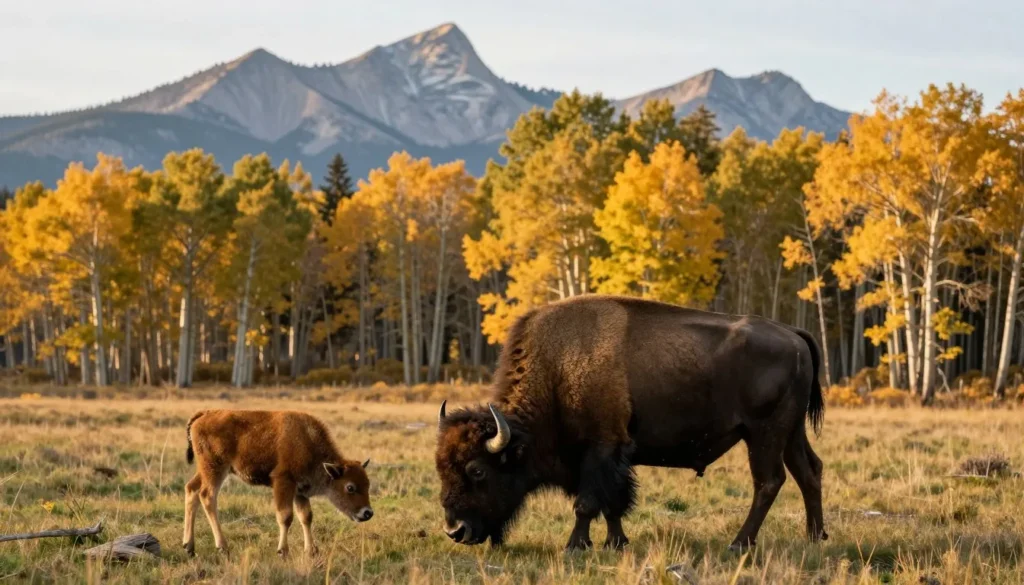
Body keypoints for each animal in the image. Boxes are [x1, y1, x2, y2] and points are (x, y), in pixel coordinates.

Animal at [435, 294, 826, 551]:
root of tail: (793, 334)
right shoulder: (611, 458)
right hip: (791, 433)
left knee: (769, 482)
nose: (455, 531)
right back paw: (815, 537)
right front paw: (616, 542)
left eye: (477, 470)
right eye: (441, 469)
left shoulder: (601, 449)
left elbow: (588, 502)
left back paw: (739, 543)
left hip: (763, 434)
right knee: (810, 471)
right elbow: (613, 501)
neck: (558, 373)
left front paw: (575, 545)